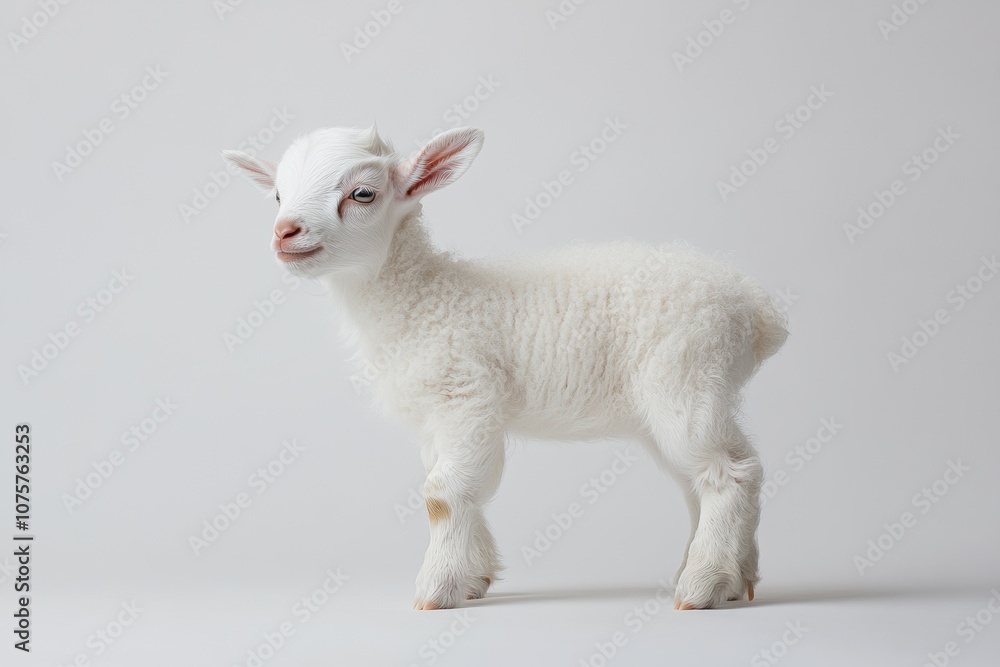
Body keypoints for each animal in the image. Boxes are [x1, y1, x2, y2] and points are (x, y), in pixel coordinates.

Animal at [224, 125, 788, 610]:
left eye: (362, 194)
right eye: (277, 196)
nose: (284, 232)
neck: (422, 297)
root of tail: (753, 308)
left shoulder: (465, 394)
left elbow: (441, 495)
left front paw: (437, 587)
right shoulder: (439, 417)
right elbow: (455, 486)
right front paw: (475, 576)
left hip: (687, 378)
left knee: (731, 473)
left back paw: (703, 584)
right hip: (676, 400)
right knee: (707, 481)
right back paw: (735, 579)